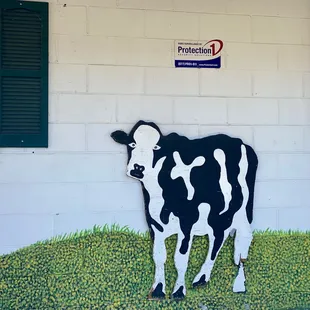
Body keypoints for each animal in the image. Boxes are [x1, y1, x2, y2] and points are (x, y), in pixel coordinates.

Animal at [111, 120, 260, 300]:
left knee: (225, 239)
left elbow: (180, 258)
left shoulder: (187, 221)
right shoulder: (154, 222)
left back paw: (207, 278)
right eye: (132, 144)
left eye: (156, 147)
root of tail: (241, 143)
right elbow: (158, 256)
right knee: (225, 236)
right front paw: (158, 290)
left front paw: (179, 291)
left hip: (233, 210)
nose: (138, 168)